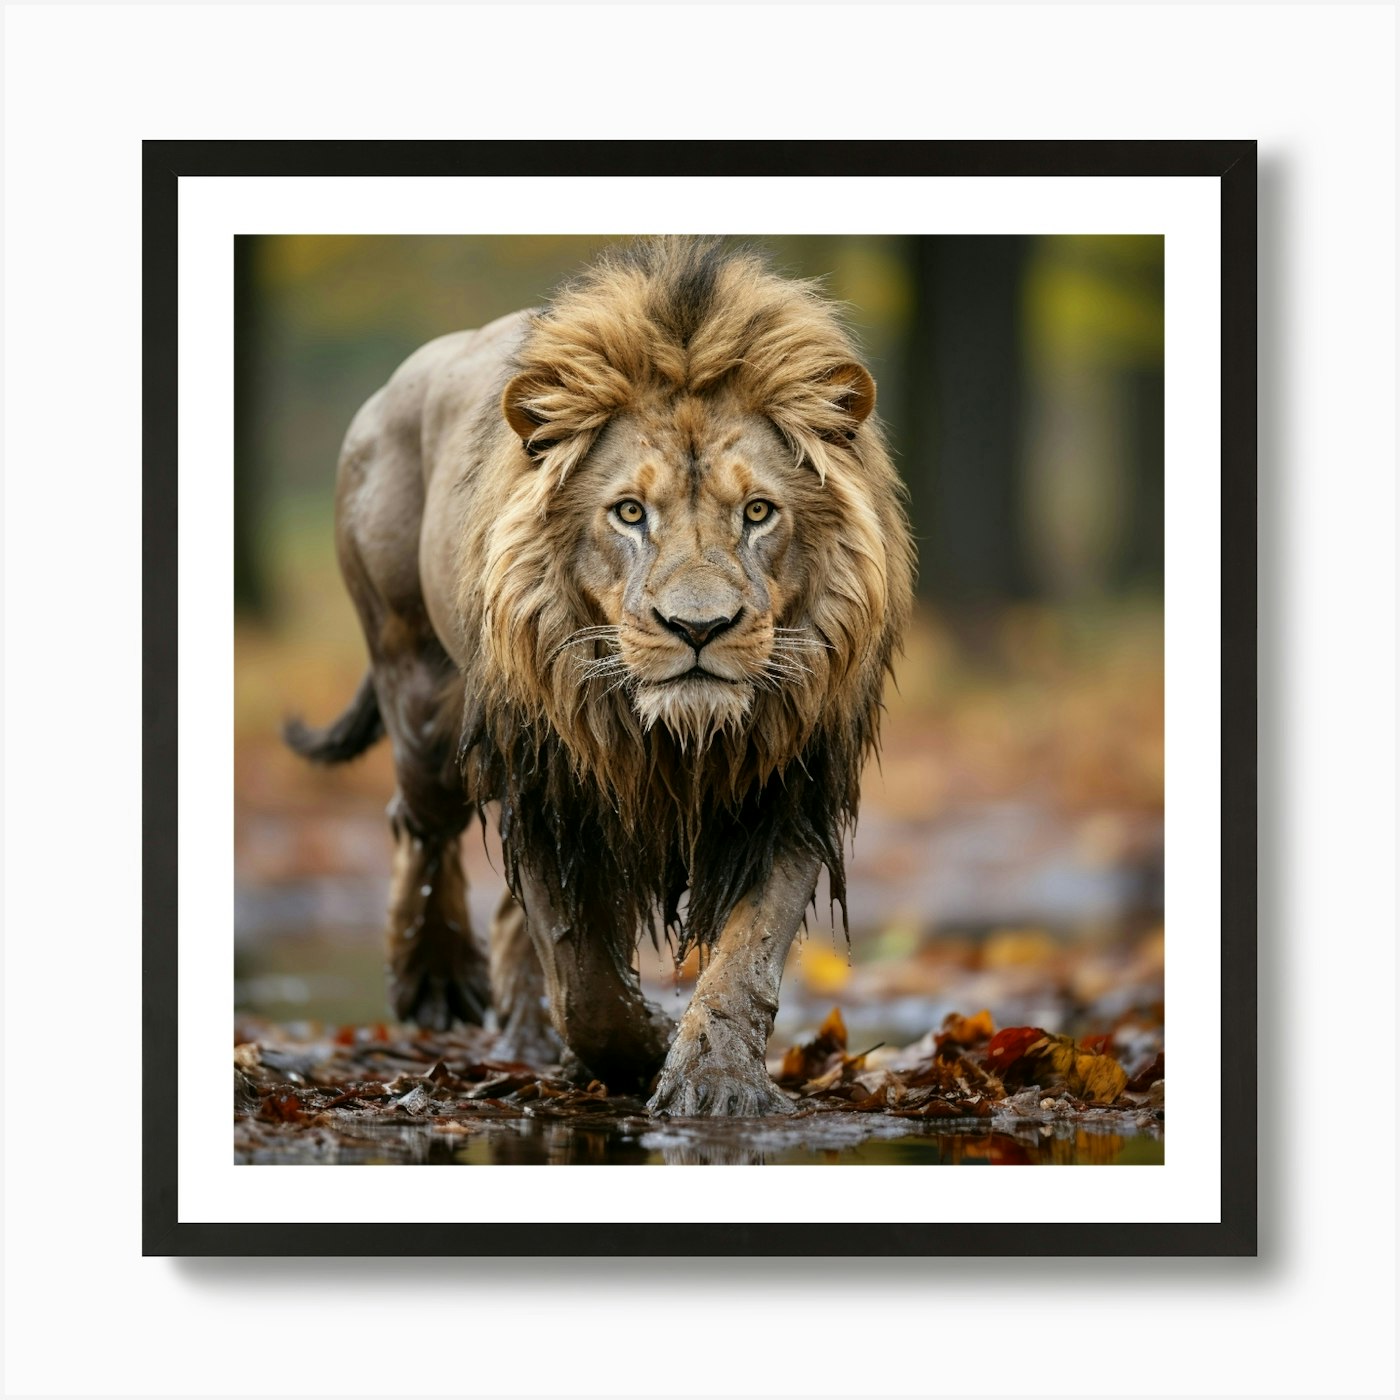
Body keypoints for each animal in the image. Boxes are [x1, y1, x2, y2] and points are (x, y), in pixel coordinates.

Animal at [285, 237, 915, 1116]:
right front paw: (645, 1046)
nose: (698, 628)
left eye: (758, 513)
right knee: (416, 821)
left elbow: (747, 953)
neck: (680, 740)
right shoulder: (554, 786)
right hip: (422, 695)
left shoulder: (788, 786)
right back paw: (435, 980)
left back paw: (523, 1035)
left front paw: (716, 1082)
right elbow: (584, 984)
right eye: (629, 513)